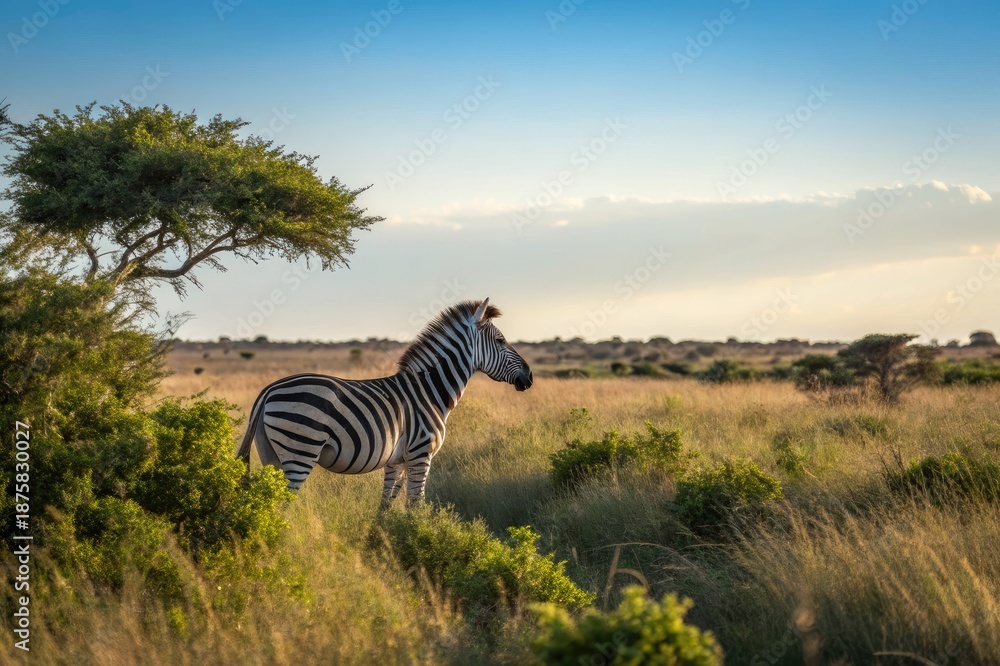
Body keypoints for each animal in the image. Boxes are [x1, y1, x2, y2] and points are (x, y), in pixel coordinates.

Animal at [235, 298, 533, 507]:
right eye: (500, 340)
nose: (529, 376)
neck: (430, 392)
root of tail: (269, 390)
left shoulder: (397, 461)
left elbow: (386, 506)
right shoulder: (421, 454)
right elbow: (415, 504)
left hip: (272, 454)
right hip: (301, 449)